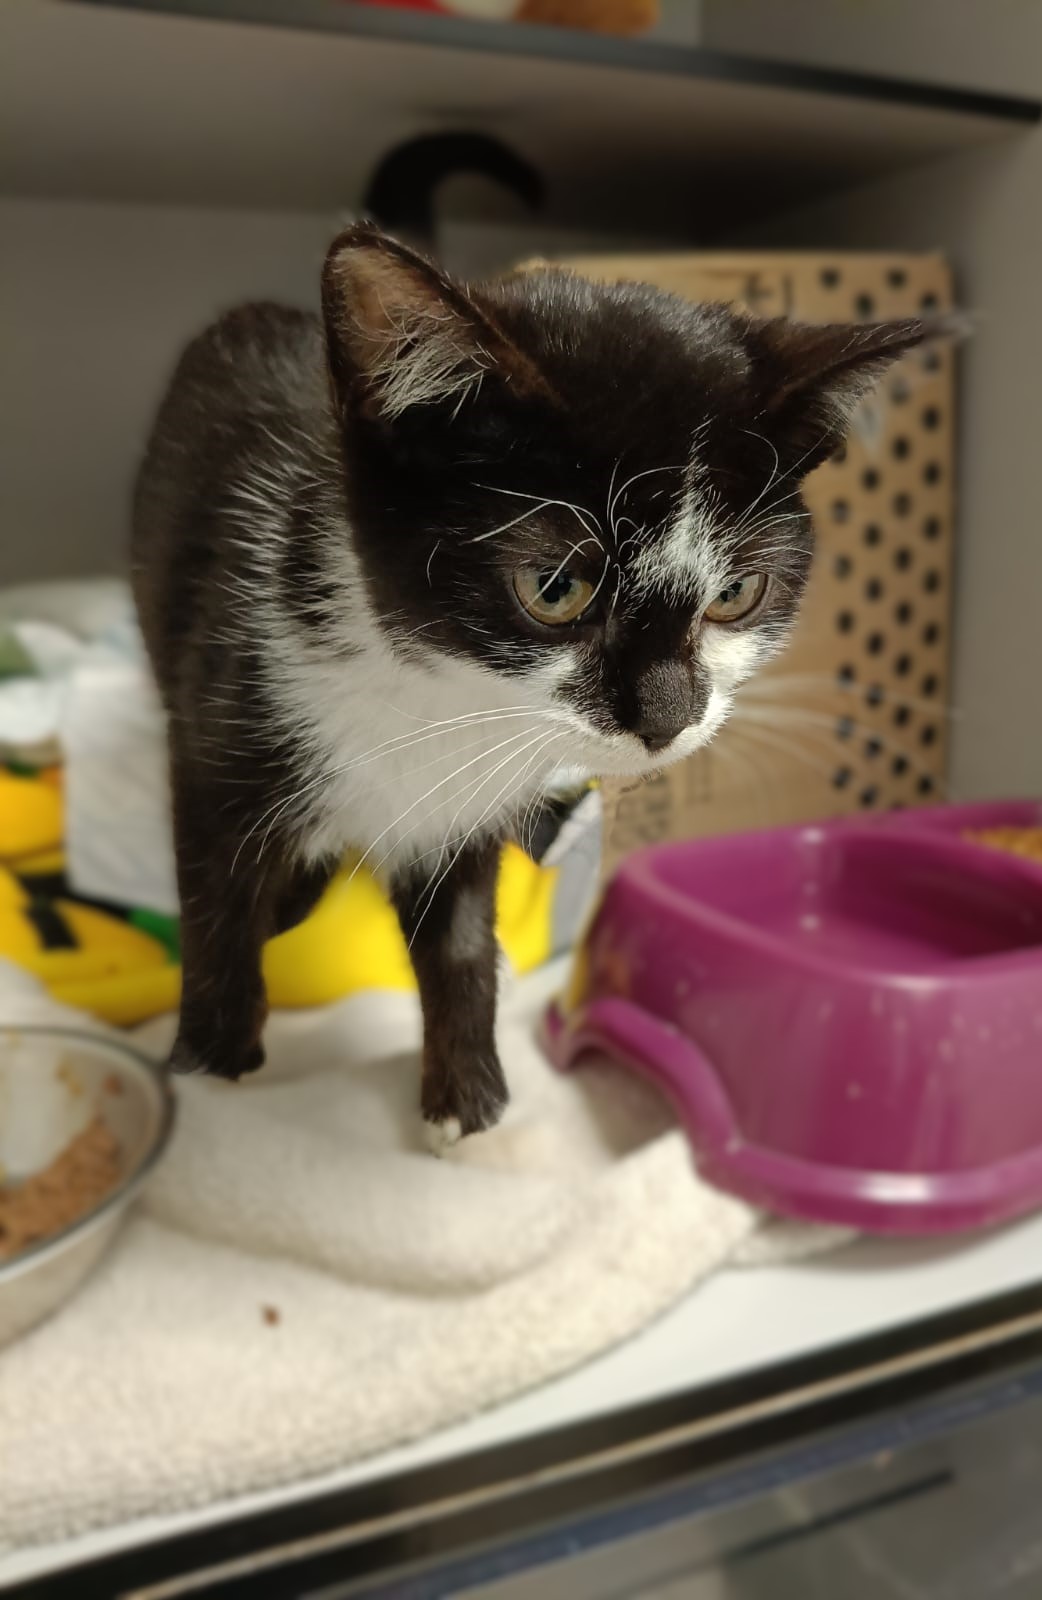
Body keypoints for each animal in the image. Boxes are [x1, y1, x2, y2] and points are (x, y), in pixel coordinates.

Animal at [132, 223, 928, 1149]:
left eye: (736, 592)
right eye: (556, 588)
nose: (670, 717)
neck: (439, 690)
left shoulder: (470, 803)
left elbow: (462, 935)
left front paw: (467, 1098)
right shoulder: (236, 694)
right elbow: (215, 893)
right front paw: (213, 1073)